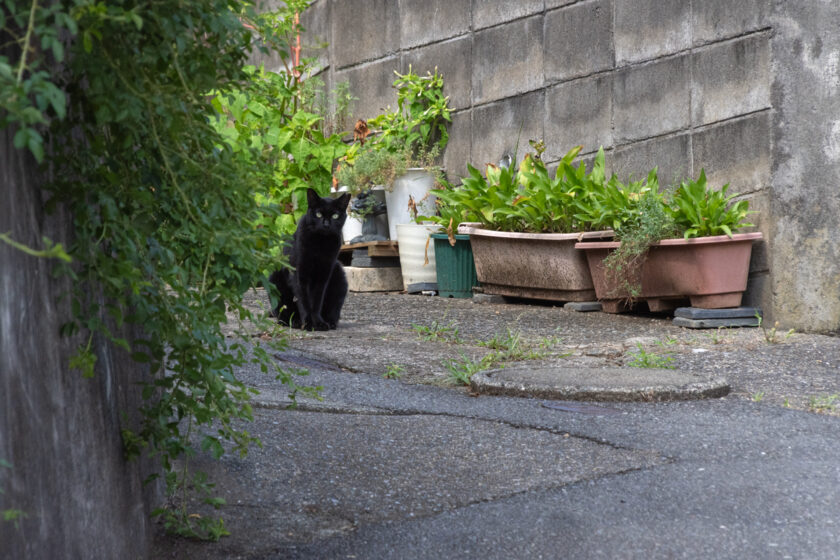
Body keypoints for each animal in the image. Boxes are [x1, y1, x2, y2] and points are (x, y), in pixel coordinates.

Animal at [268, 189, 350, 328]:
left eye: (335, 216)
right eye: (318, 214)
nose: (326, 224)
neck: (320, 243)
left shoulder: (324, 274)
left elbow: (316, 301)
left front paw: (319, 323)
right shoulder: (300, 273)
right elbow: (304, 301)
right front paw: (308, 323)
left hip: (339, 275)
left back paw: (329, 322)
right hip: (275, 277)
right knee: (282, 311)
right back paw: (294, 321)